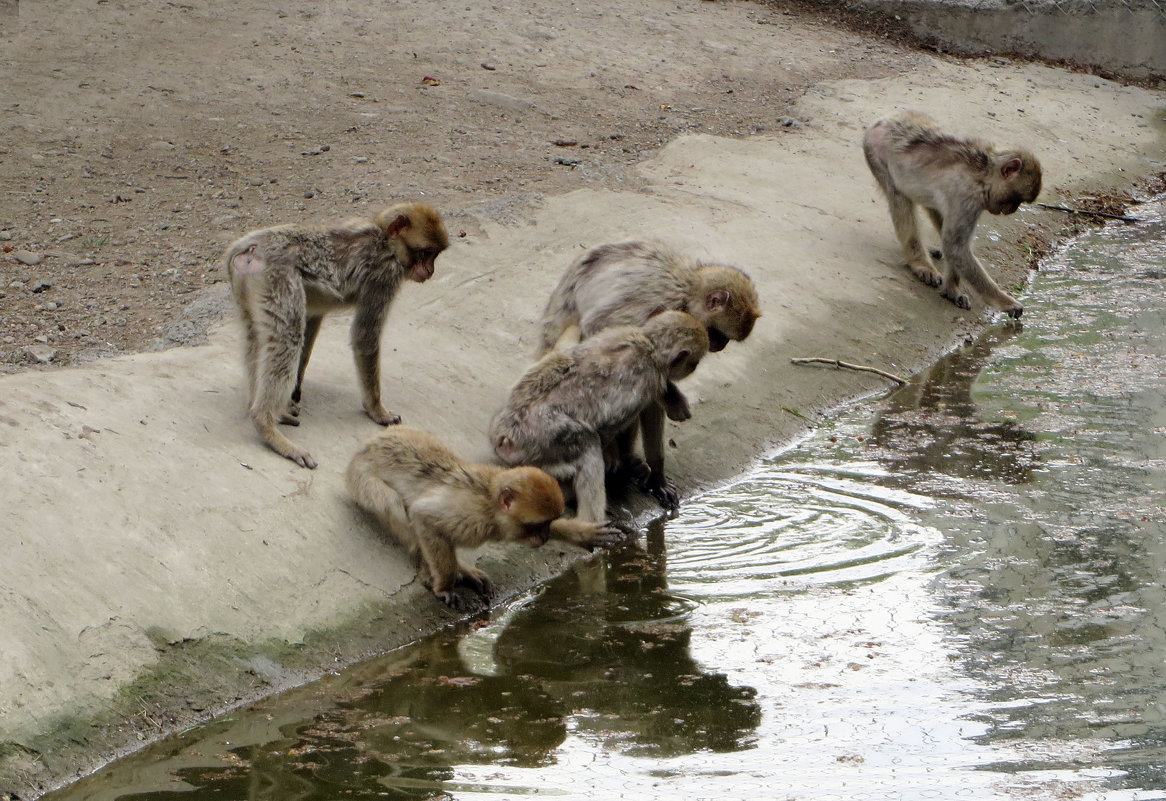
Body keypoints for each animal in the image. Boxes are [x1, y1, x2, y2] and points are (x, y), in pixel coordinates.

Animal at [225, 204, 447, 471]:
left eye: (434, 255)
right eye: (425, 253)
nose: (430, 271)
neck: (384, 239)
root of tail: (250, 246)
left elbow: (312, 317)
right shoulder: (385, 275)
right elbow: (364, 336)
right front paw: (377, 410)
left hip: (248, 287)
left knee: (256, 336)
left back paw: (257, 407)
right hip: (277, 278)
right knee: (288, 335)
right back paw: (265, 425)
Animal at [345, 426, 620, 606]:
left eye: (548, 523)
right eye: (536, 526)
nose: (542, 538)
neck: (492, 510)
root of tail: (367, 445)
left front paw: (583, 533)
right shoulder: (469, 516)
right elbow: (422, 515)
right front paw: (445, 582)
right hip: (361, 479)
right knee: (391, 503)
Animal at [492, 307, 708, 520]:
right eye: (693, 364)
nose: (693, 369)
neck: (649, 346)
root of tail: (504, 438)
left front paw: (654, 475)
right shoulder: (649, 376)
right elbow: (609, 424)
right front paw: (628, 465)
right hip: (538, 438)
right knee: (588, 442)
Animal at [862, 111, 1044, 317]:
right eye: (1014, 200)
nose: (1011, 210)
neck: (983, 172)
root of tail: (885, 120)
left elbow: (954, 246)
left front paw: (952, 289)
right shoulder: (967, 198)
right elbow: (955, 247)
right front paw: (1005, 301)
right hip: (875, 152)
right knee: (899, 198)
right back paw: (919, 262)